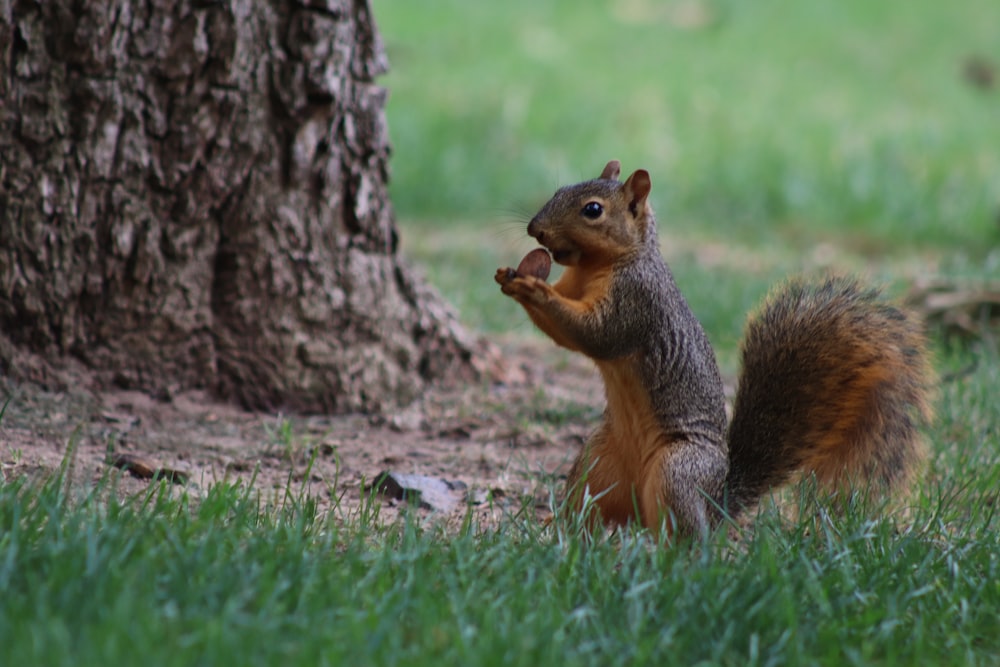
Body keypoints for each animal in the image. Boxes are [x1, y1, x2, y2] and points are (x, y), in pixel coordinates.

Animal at [496, 163, 932, 544]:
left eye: (592, 210)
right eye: (559, 190)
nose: (535, 229)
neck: (600, 265)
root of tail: (715, 502)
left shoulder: (638, 301)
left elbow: (595, 335)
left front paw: (534, 289)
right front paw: (510, 278)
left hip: (678, 471)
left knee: (687, 533)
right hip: (596, 465)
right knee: (589, 511)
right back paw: (558, 532)